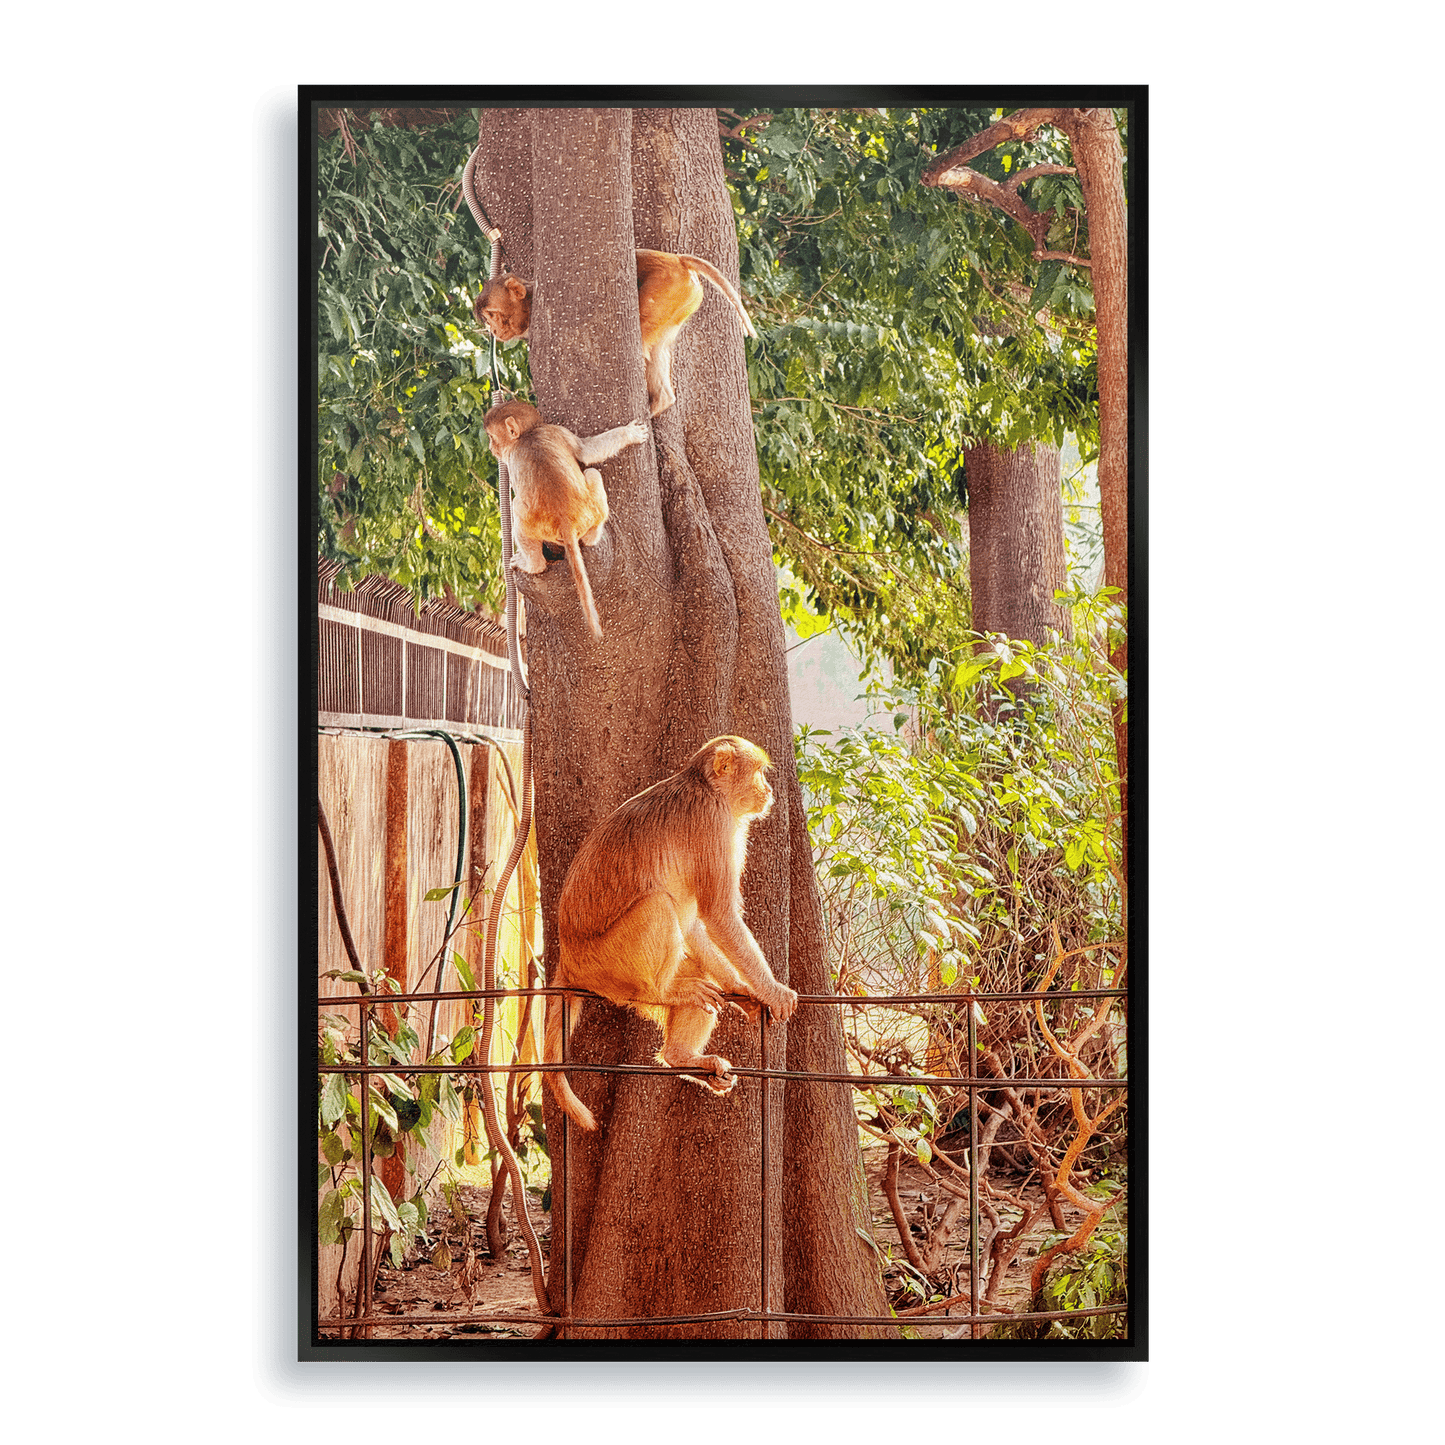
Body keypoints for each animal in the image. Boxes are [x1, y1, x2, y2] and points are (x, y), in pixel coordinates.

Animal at [473, 250, 758, 417]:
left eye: (493, 315)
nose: (493, 330)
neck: (529, 303)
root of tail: (677, 259)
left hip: (665, 287)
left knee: (642, 334)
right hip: (681, 302)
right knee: (658, 348)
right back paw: (661, 401)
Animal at [482, 400, 648, 640]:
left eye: (492, 437)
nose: (491, 448)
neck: (527, 434)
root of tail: (565, 520)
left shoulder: (520, 451)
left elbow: (586, 452)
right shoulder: (557, 431)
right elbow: (586, 451)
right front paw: (631, 434)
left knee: (519, 508)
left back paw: (532, 565)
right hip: (585, 512)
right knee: (592, 473)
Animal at [543, 736, 799, 1131]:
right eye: (758, 773)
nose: (769, 790)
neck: (706, 787)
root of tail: (568, 957)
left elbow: (694, 924)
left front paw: (742, 990)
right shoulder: (713, 823)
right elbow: (718, 916)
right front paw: (772, 990)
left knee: (697, 971)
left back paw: (680, 1056)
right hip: (608, 964)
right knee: (659, 906)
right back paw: (661, 991)